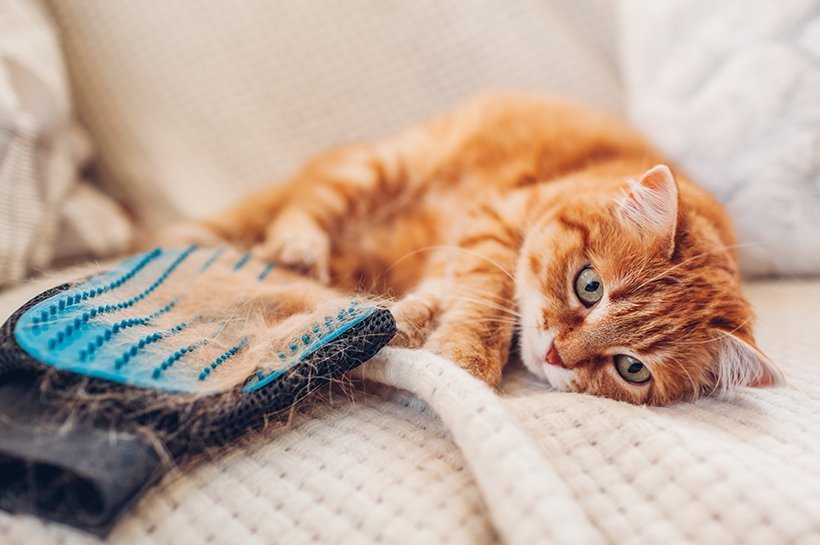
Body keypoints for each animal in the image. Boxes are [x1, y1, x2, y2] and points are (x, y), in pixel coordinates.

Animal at [162, 92, 780, 404]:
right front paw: (463, 360)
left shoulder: (455, 251)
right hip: (381, 166)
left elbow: (439, 294)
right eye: (589, 285)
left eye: (631, 369)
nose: (557, 356)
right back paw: (286, 245)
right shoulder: (494, 221)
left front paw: (406, 322)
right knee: (301, 203)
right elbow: (486, 298)